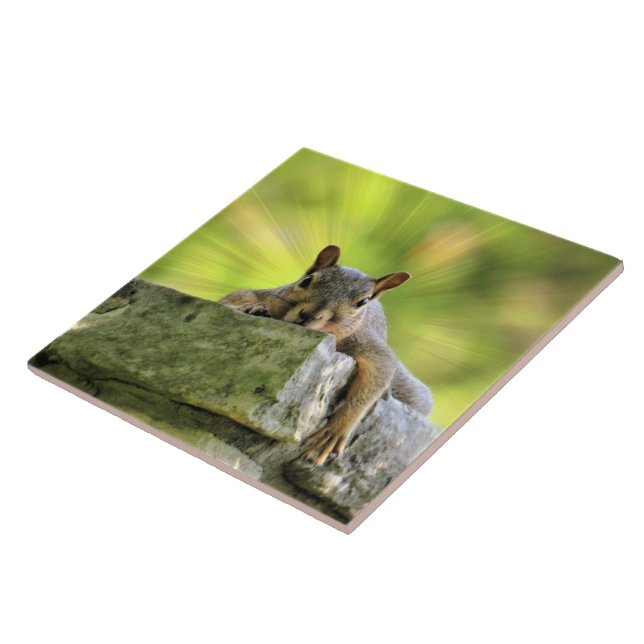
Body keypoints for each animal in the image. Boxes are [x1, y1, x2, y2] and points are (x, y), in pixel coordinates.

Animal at [218, 245, 433, 465]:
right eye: (306, 281)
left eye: (362, 302)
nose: (308, 315)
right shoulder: (269, 296)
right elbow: (233, 298)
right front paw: (248, 307)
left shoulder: (369, 346)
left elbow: (377, 376)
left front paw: (337, 430)